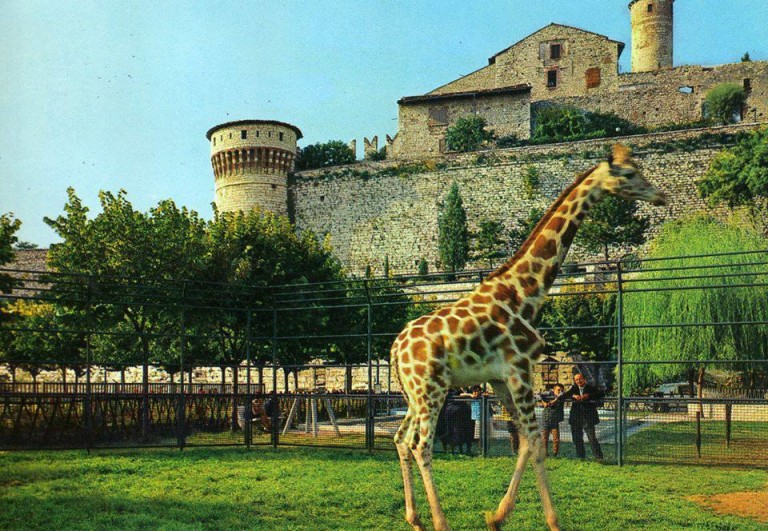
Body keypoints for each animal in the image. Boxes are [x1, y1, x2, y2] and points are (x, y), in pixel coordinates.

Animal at [391, 144, 666, 531]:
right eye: (629, 174)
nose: (660, 195)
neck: (525, 292)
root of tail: (395, 350)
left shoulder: (500, 378)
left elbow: (524, 439)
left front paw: (496, 516)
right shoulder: (520, 368)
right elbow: (535, 440)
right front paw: (547, 519)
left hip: (414, 394)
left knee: (401, 439)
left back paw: (414, 517)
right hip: (432, 388)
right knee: (421, 445)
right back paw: (439, 522)